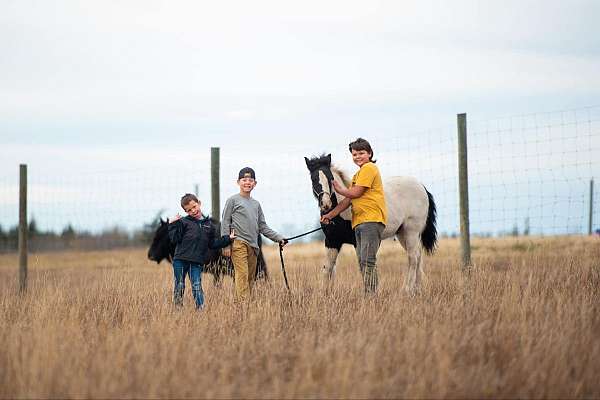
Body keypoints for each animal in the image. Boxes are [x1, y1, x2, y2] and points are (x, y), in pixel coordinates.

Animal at [304, 155, 436, 296]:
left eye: (330, 178)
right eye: (313, 179)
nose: (326, 204)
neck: (342, 212)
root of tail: (422, 187)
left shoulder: (357, 241)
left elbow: (362, 266)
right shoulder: (332, 241)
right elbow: (328, 268)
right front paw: (323, 294)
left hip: (411, 232)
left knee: (413, 258)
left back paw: (407, 290)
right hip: (403, 234)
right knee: (418, 256)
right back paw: (416, 290)